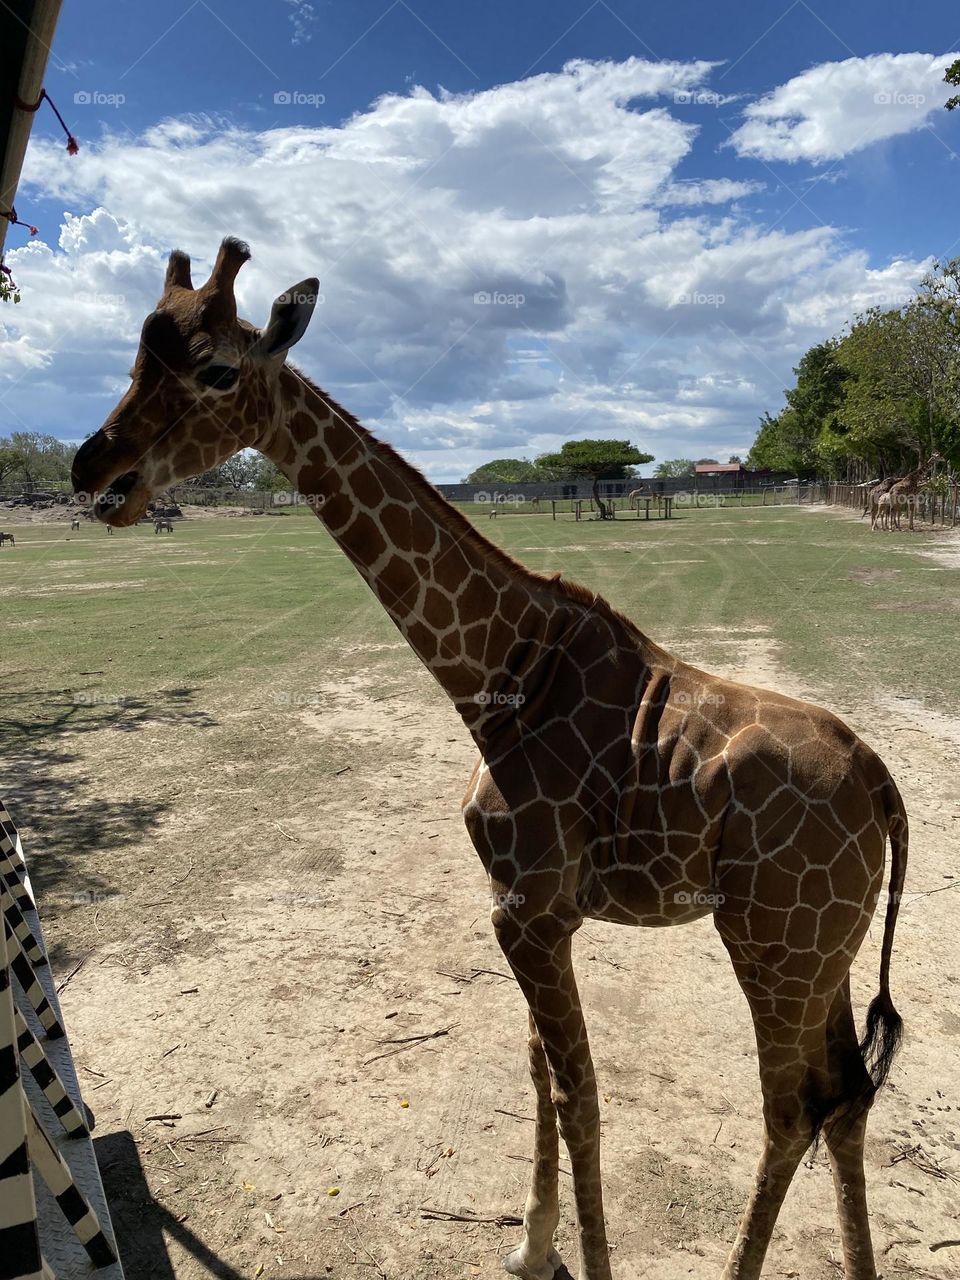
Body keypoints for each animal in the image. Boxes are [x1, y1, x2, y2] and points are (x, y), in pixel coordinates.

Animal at [72, 241, 908, 1280]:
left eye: (217, 369)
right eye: (134, 359)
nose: (94, 466)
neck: (498, 675)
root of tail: (883, 784)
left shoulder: (530, 910)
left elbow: (580, 1097)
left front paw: (567, 1255)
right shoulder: (524, 909)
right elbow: (541, 1073)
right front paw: (529, 1245)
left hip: (776, 940)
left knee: (794, 1104)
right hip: (827, 947)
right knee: (847, 1094)